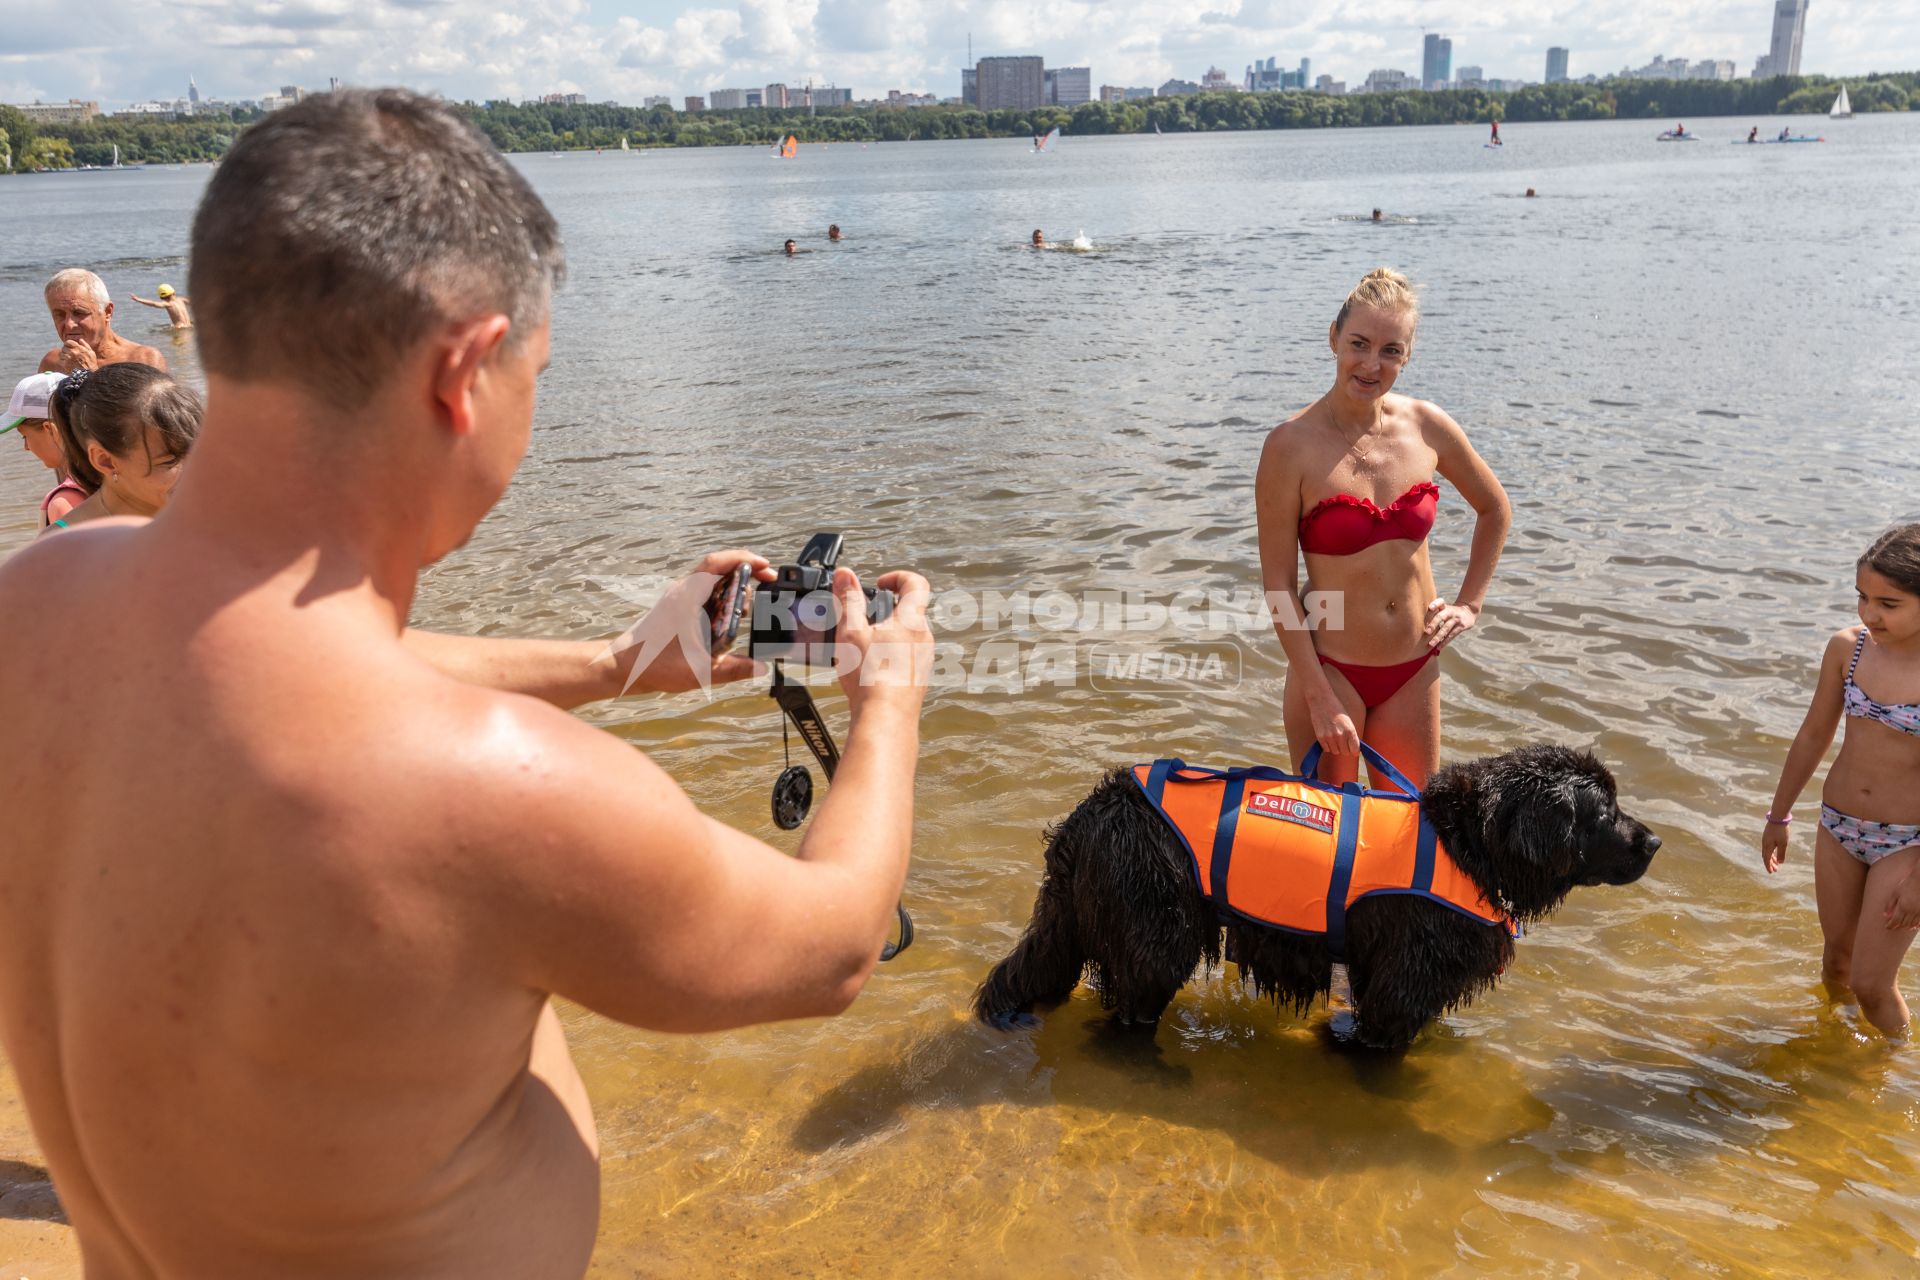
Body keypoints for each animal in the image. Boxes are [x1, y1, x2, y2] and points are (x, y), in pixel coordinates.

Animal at [983, 740, 1658, 1051]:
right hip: (1153, 926)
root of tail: (1091, 812)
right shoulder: (1404, 978)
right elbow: (1383, 1032)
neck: (1467, 842)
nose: (1654, 841)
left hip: (1074, 914)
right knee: (1132, 1005)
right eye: (1605, 813)